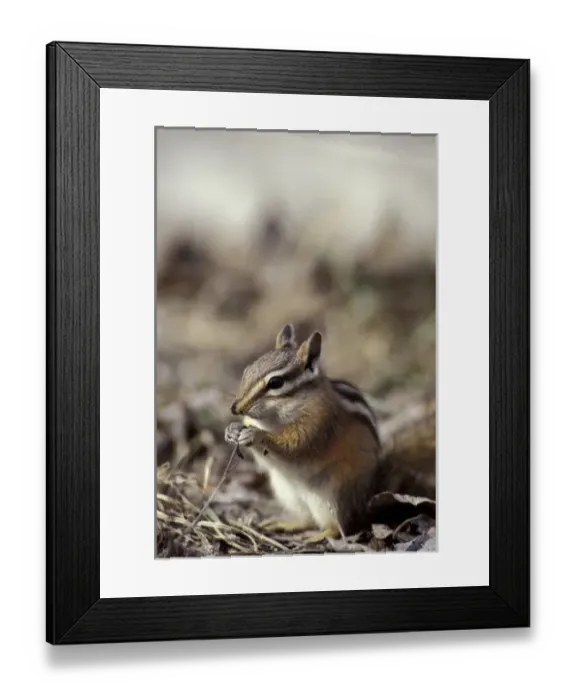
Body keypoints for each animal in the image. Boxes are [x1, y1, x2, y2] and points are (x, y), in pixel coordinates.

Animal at [225, 323, 435, 542]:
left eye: (275, 382)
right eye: (247, 370)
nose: (235, 408)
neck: (273, 419)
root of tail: (368, 496)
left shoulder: (317, 424)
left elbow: (295, 445)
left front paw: (256, 435)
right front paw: (232, 431)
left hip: (333, 496)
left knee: (338, 527)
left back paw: (317, 536)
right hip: (288, 494)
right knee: (307, 520)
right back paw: (284, 523)